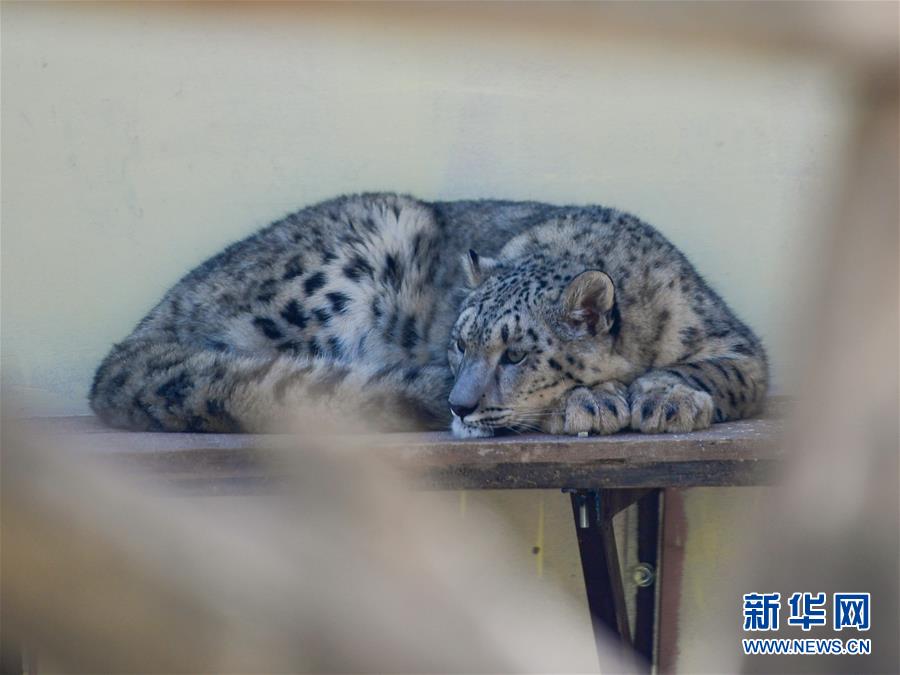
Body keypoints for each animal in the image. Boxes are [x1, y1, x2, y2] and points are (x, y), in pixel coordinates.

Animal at [89, 193, 768, 440]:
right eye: (459, 344)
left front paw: (666, 398)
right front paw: (596, 402)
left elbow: (714, 371)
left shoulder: (736, 344)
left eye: (516, 354)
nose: (459, 406)